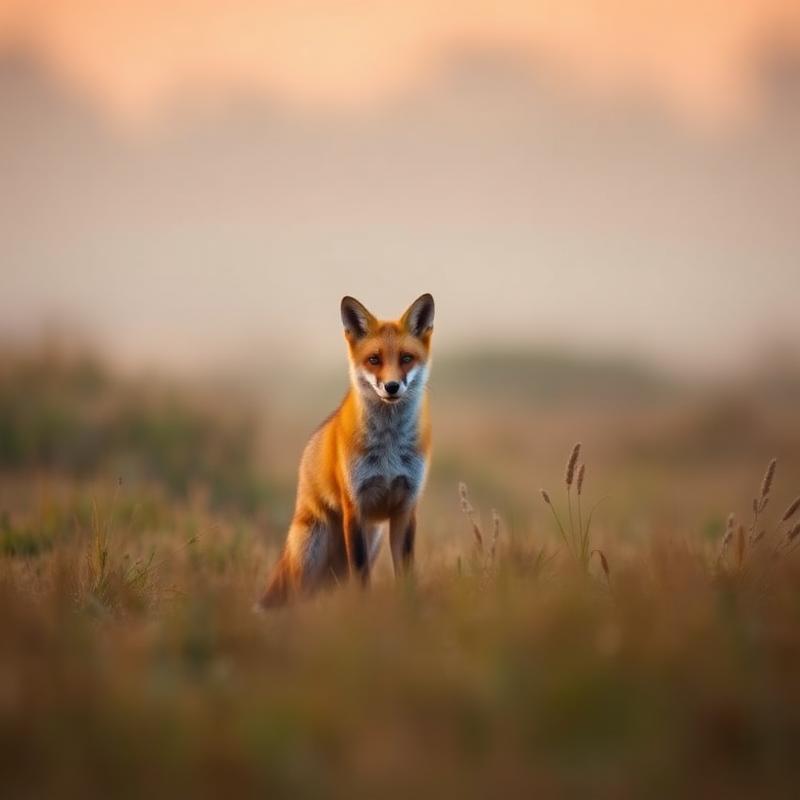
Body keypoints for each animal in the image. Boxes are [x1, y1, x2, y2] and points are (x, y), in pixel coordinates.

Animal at [257, 293, 435, 609]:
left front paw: (408, 606)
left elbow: (406, 573)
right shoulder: (355, 506)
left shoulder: (406, 507)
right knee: (298, 596)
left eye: (406, 358)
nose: (391, 387)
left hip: (368, 542)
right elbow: (361, 576)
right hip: (311, 550)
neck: (388, 449)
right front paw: (364, 611)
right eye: (374, 359)